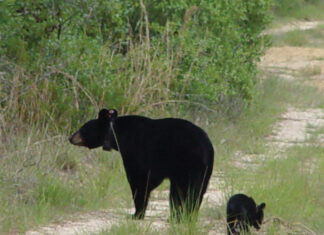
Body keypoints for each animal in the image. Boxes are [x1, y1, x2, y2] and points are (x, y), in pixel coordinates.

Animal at [69, 108, 214, 220]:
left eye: (82, 129)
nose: (70, 138)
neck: (117, 135)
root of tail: (207, 146)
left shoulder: (136, 151)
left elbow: (138, 181)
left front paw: (136, 214)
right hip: (205, 170)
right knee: (195, 191)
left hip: (187, 164)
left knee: (187, 190)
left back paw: (181, 217)